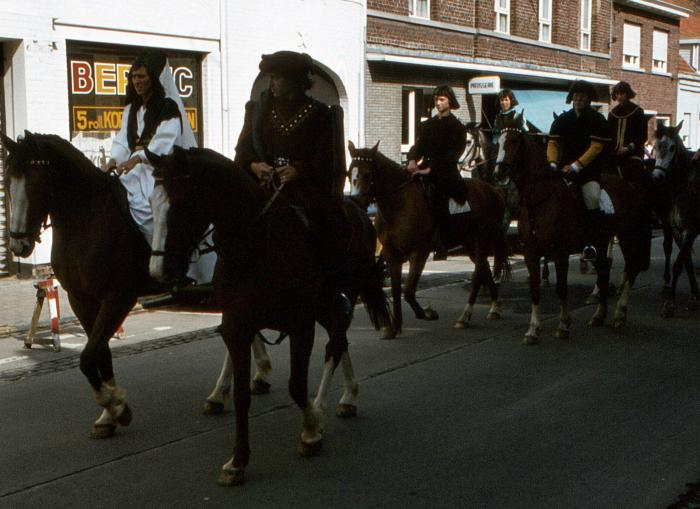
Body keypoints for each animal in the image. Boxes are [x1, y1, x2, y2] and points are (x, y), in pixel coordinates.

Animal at [0, 130, 167, 436]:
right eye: (7, 181)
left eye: (36, 183)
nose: (18, 245)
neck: (87, 219)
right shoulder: (81, 299)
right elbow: (100, 353)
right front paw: (110, 411)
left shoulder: (118, 298)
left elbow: (88, 357)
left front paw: (116, 406)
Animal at [148, 146, 392, 484]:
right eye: (150, 203)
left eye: (181, 202)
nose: (158, 271)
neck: (256, 245)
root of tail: (356, 207)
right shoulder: (238, 326)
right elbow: (242, 395)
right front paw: (237, 461)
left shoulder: (301, 325)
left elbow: (297, 385)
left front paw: (310, 431)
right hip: (324, 308)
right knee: (340, 342)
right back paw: (347, 397)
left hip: (342, 297)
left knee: (335, 344)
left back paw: (326, 406)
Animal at [348, 140, 508, 338]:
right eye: (349, 171)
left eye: (367, 173)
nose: (355, 200)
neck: (399, 204)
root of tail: (494, 191)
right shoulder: (392, 255)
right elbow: (396, 290)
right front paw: (395, 327)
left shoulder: (419, 253)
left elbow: (408, 291)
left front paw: (427, 313)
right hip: (471, 244)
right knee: (485, 271)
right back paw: (494, 308)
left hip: (481, 241)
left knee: (478, 275)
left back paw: (465, 317)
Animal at [492, 114, 652, 346]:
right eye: (498, 143)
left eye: (514, 141)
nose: (499, 172)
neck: (540, 199)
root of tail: (630, 186)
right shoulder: (531, 252)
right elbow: (534, 289)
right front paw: (533, 330)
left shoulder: (560, 253)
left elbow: (561, 288)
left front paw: (563, 326)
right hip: (602, 241)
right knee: (604, 270)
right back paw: (599, 315)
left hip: (627, 236)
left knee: (631, 268)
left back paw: (620, 314)